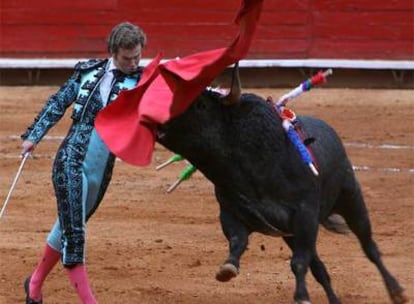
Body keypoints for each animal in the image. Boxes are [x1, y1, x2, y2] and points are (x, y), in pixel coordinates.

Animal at [155, 86, 408, 302]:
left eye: (198, 105)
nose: (155, 120)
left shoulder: (305, 216)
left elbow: (299, 262)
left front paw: (301, 297)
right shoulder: (231, 213)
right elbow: (238, 242)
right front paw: (227, 268)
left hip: (351, 200)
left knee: (370, 248)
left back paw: (397, 291)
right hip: (292, 233)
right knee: (320, 268)